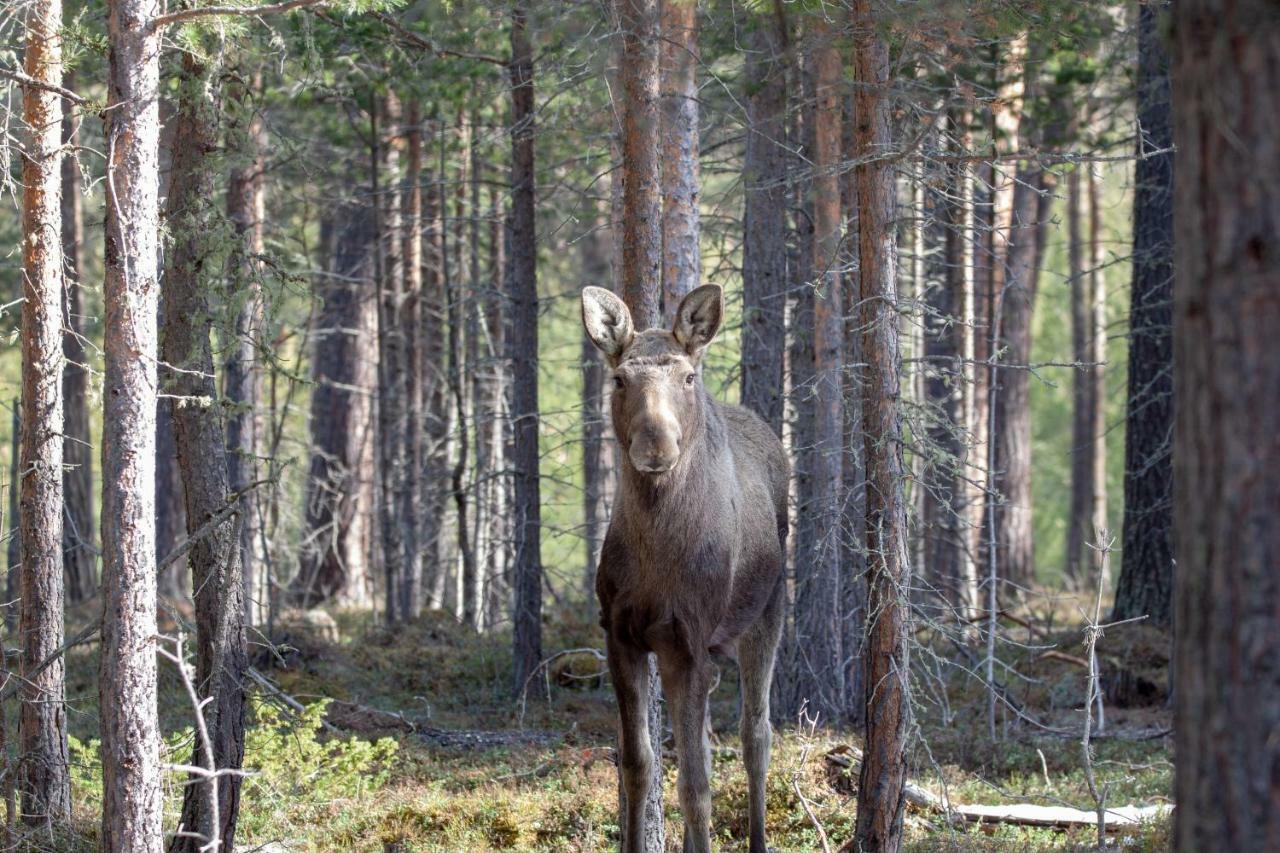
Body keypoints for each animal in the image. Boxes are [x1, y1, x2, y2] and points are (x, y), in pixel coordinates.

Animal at [583, 285, 783, 850]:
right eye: (620, 378)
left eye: (688, 377)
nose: (656, 445)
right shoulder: (621, 635)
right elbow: (638, 765)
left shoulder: (686, 642)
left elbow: (695, 787)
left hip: (768, 611)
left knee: (756, 735)